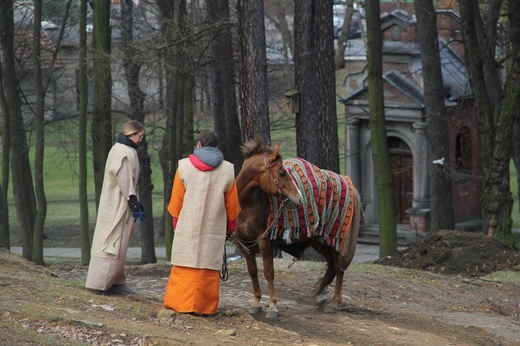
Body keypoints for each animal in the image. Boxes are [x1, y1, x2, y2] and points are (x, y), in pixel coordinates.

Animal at [234, 138, 364, 318]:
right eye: (282, 173)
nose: (299, 199)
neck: (248, 205)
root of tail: (347, 181)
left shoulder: (265, 242)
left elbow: (268, 272)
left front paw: (272, 306)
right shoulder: (244, 243)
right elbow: (252, 271)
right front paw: (256, 302)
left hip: (336, 240)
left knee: (339, 268)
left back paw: (334, 302)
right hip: (320, 241)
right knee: (332, 265)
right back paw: (321, 296)